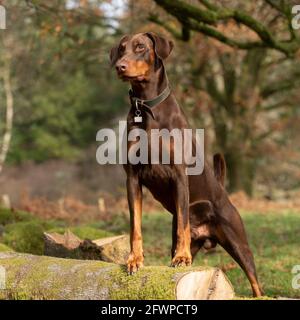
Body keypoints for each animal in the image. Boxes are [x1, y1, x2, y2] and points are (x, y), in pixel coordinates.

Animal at [110, 33, 262, 298]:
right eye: (121, 49)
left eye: (140, 47)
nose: (120, 67)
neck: (147, 107)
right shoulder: (132, 179)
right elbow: (135, 226)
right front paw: (134, 259)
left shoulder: (178, 175)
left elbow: (183, 222)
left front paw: (181, 258)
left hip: (237, 240)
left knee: (254, 279)